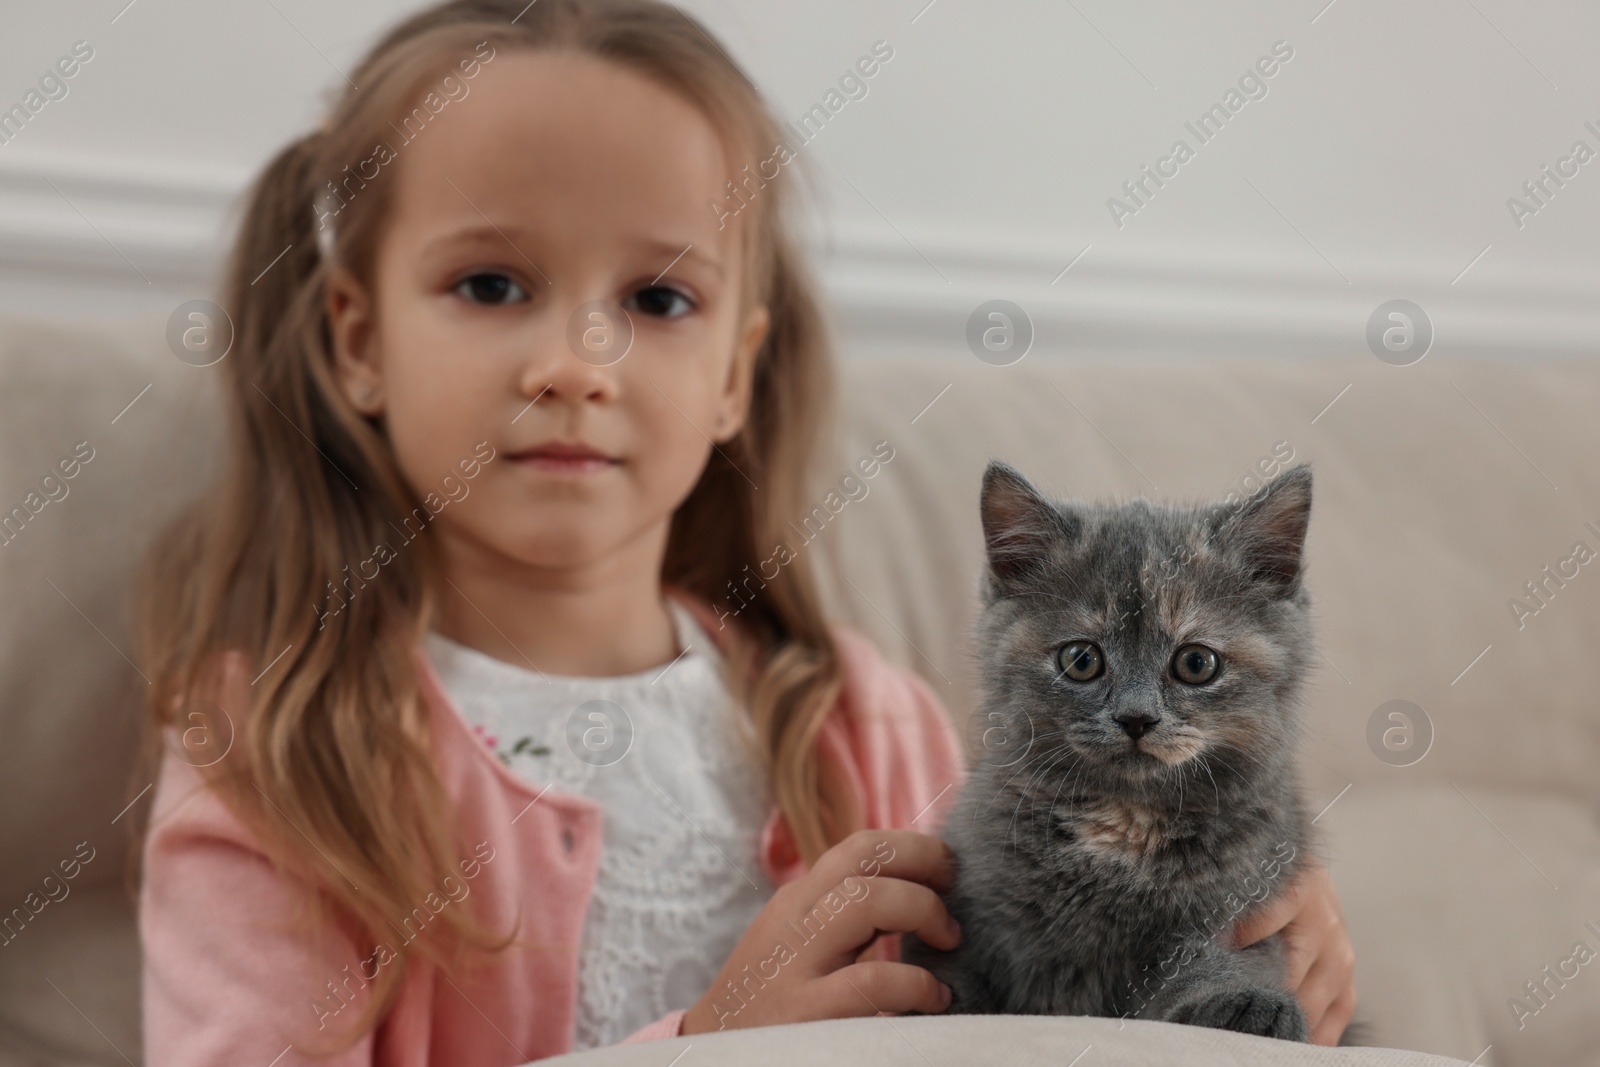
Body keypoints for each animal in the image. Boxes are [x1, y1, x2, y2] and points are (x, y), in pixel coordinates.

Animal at [908, 460, 1331, 1043]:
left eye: (1196, 663)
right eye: (1081, 659)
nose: (1136, 717)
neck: (1124, 822)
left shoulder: (1244, 903)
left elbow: (1214, 961)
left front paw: (1247, 1001)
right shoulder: (967, 901)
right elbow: (948, 967)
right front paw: (933, 1006)